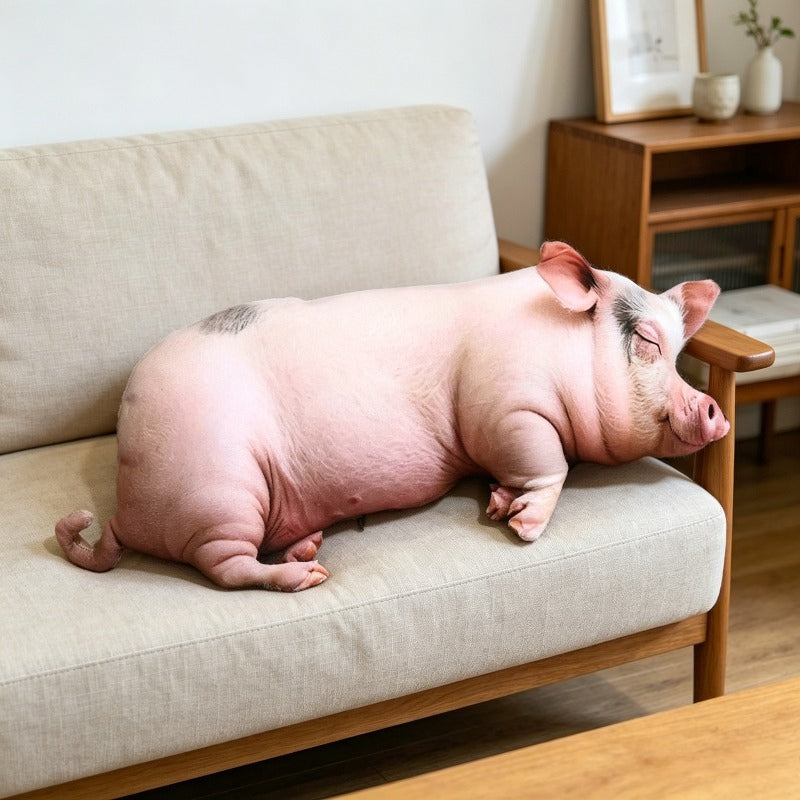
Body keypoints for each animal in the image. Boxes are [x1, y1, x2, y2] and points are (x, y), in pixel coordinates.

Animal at [55, 241, 729, 591]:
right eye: (646, 341)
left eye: (679, 349)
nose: (714, 410)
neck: (562, 350)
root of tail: (125, 507)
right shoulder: (506, 406)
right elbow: (548, 463)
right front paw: (522, 526)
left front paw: (497, 505)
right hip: (217, 490)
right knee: (225, 568)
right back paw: (309, 575)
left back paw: (305, 547)